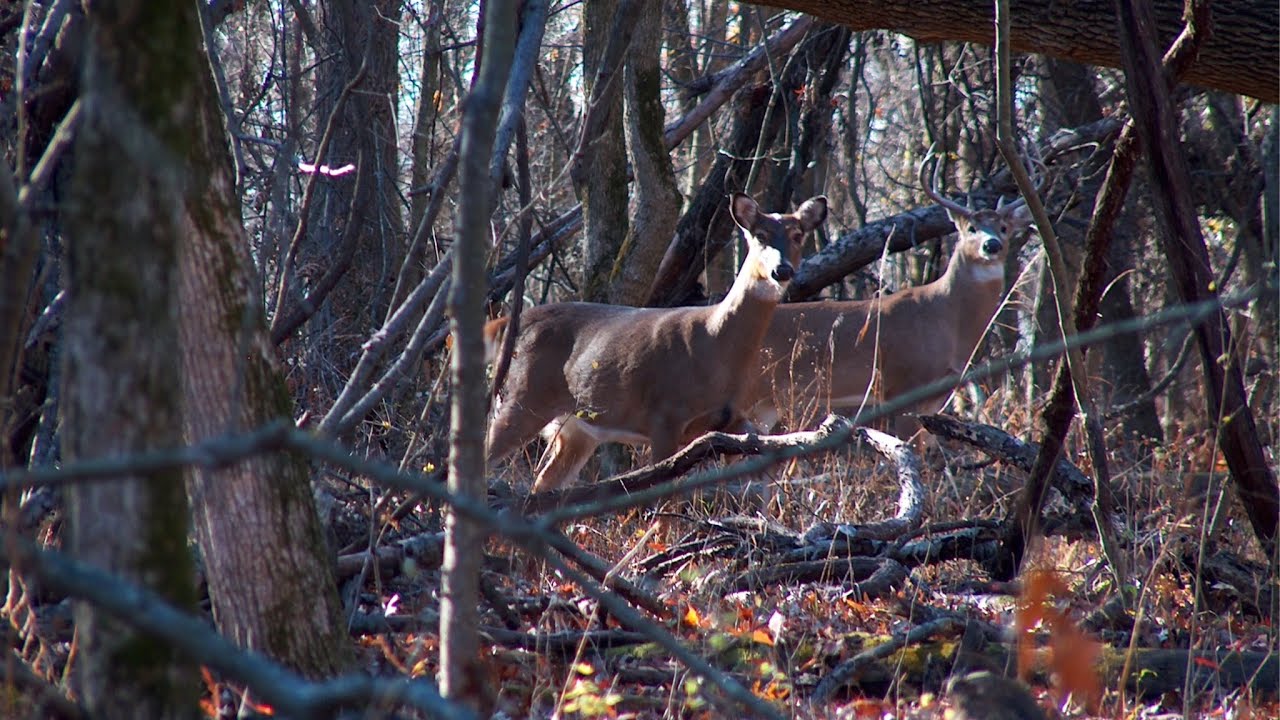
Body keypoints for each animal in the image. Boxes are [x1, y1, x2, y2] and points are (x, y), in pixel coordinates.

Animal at [485, 193, 829, 492]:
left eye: (797, 234)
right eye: (759, 235)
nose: (781, 270)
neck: (715, 345)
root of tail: (507, 325)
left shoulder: (735, 419)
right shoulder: (665, 416)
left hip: (574, 428)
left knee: (541, 485)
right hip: (521, 397)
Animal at [741, 158, 1039, 442]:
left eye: (1004, 227)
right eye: (971, 228)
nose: (992, 245)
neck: (946, 317)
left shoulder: (937, 396)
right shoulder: (905, 385)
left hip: (766, 402)